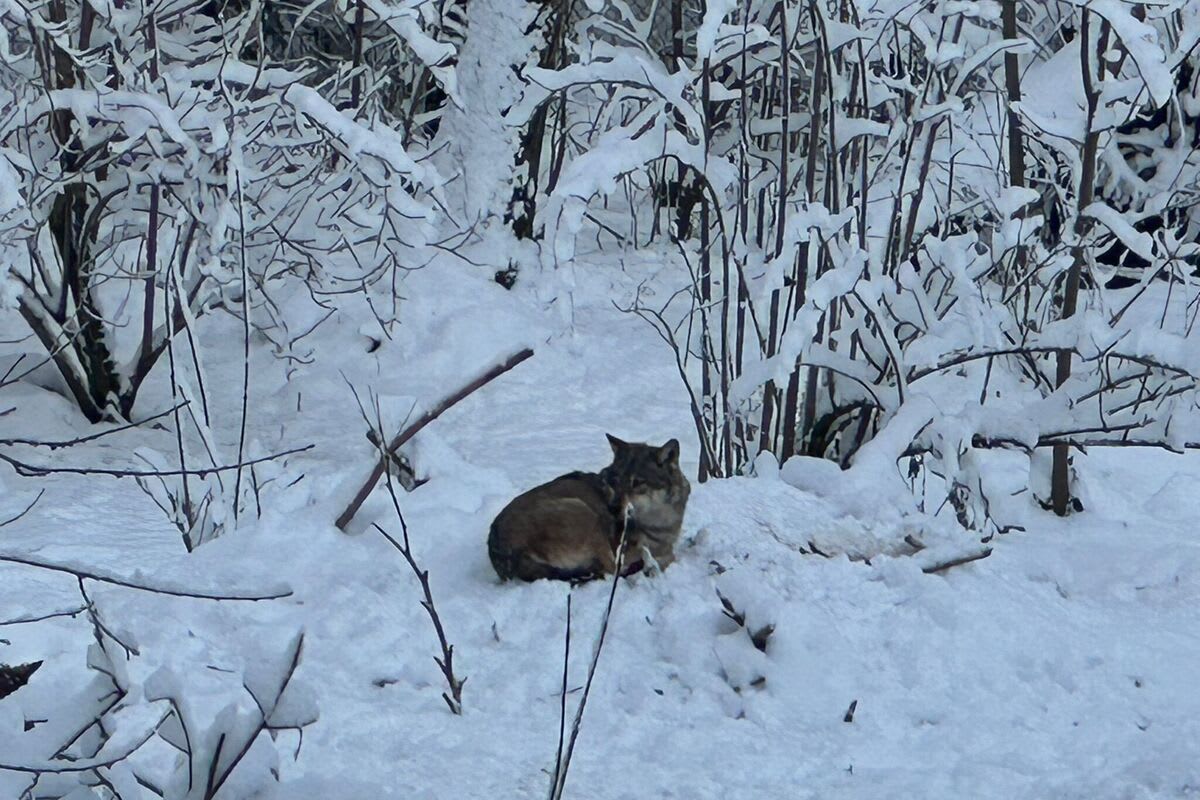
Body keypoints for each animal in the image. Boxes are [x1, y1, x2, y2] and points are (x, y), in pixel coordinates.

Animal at [488, 434, 691, 582]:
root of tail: (501, 549)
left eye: (638, 482)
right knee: (611, 572)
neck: (659, 522)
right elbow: (665, 556)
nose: (612, 507)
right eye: (615, 480)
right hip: (585, 513)